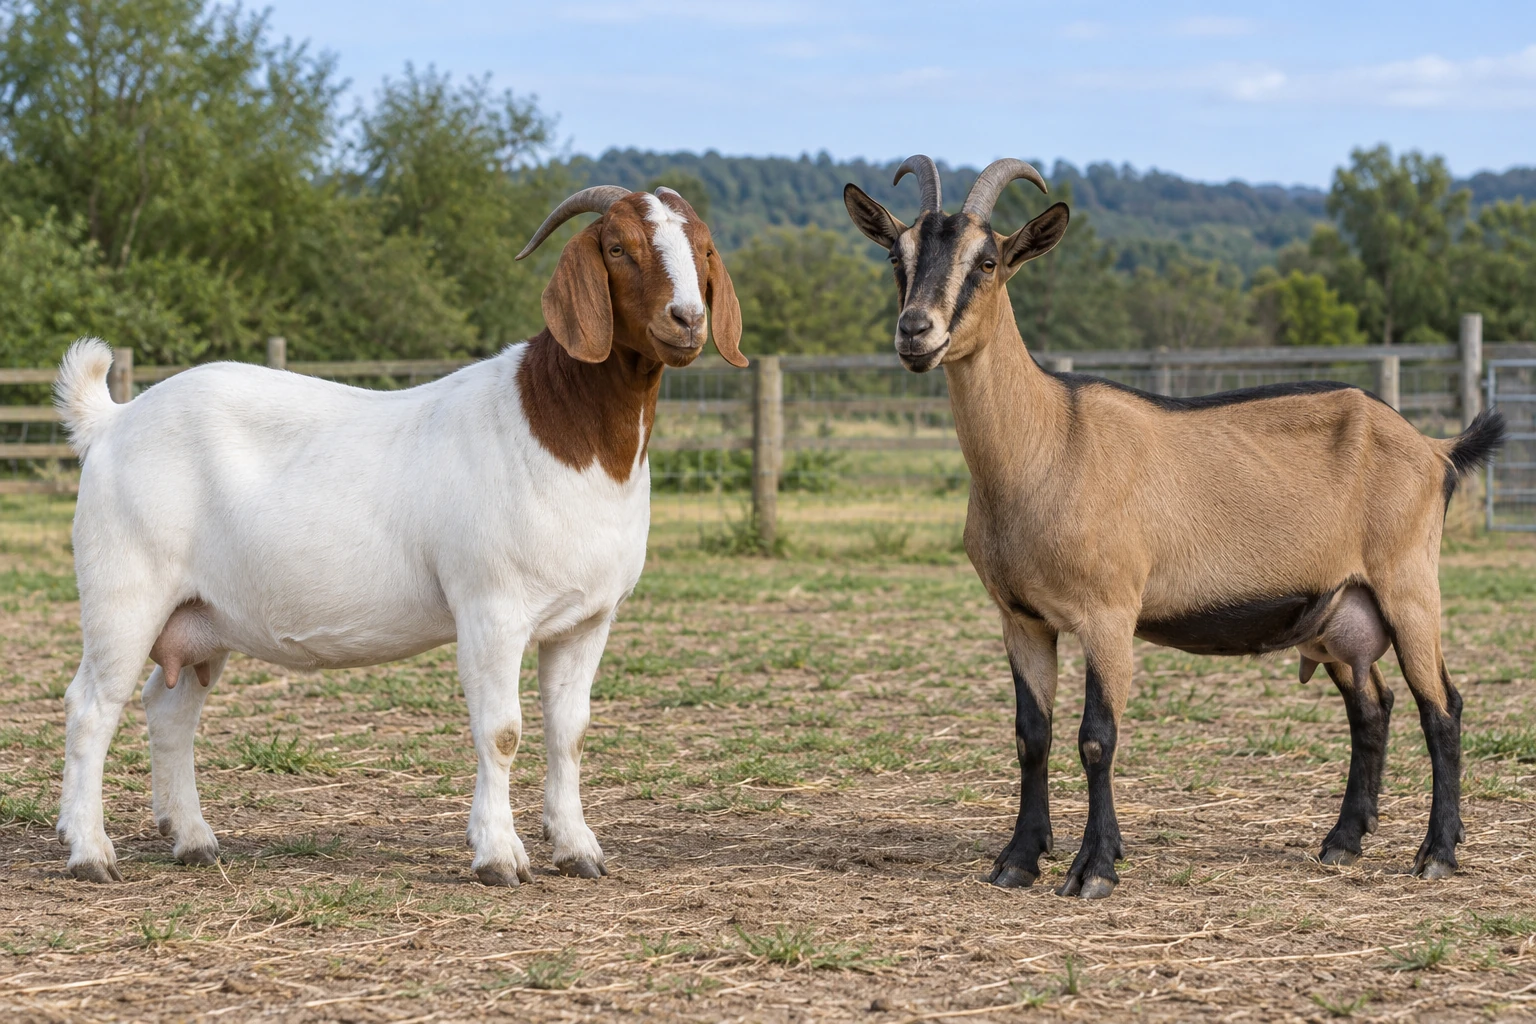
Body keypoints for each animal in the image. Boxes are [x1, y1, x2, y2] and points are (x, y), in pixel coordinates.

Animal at [53, 184, 745, 885]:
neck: (565, 432)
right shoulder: (490, 608)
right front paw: (498, 856)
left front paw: (577, 849)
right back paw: (90, 852)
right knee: (92, 705)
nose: (686, 319)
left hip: (201, 617)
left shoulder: (588, 618)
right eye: (617, 247)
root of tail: (111, 421)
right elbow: (502, 731)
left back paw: (193, 839)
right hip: (124, 591)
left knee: (169, 710)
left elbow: (568, 731)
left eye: (705, 248)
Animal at [845, 154, 1507, 899]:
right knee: (1374, 707)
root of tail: (1436, 450)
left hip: (1409, 584)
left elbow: (1096, 737)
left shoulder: (1108, 612)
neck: (1048, 442)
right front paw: (1017, 859)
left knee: (1442, 706)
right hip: (1342, 611)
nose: (915, 332)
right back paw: (1341, 842)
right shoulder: (1022, 618)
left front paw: (1094, 868)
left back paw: (1437, 853)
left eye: (987, 261)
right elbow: (1030, 735)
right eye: (896, 256)